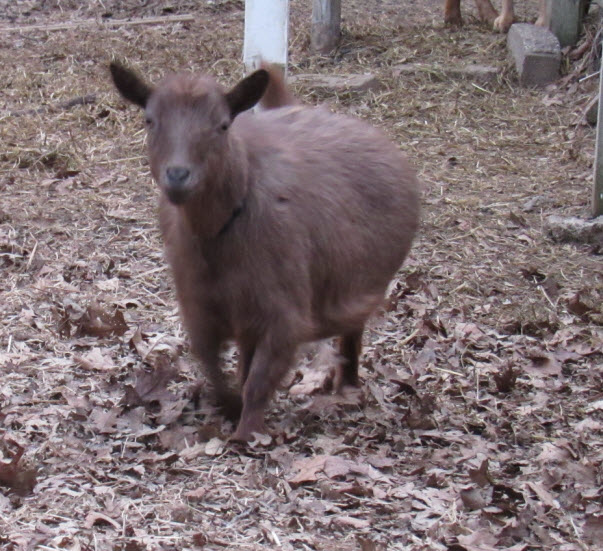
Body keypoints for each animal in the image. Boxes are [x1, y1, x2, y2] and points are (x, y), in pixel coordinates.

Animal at [109, 62, 420, 442]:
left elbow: (258, 381)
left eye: (223, 124)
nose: (178, 175)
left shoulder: (285, 315)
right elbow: (215, 370)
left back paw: (347, 385)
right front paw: (230, 408)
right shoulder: (201, 308)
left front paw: (246, 435)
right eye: (149, 120)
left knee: (353, 329)